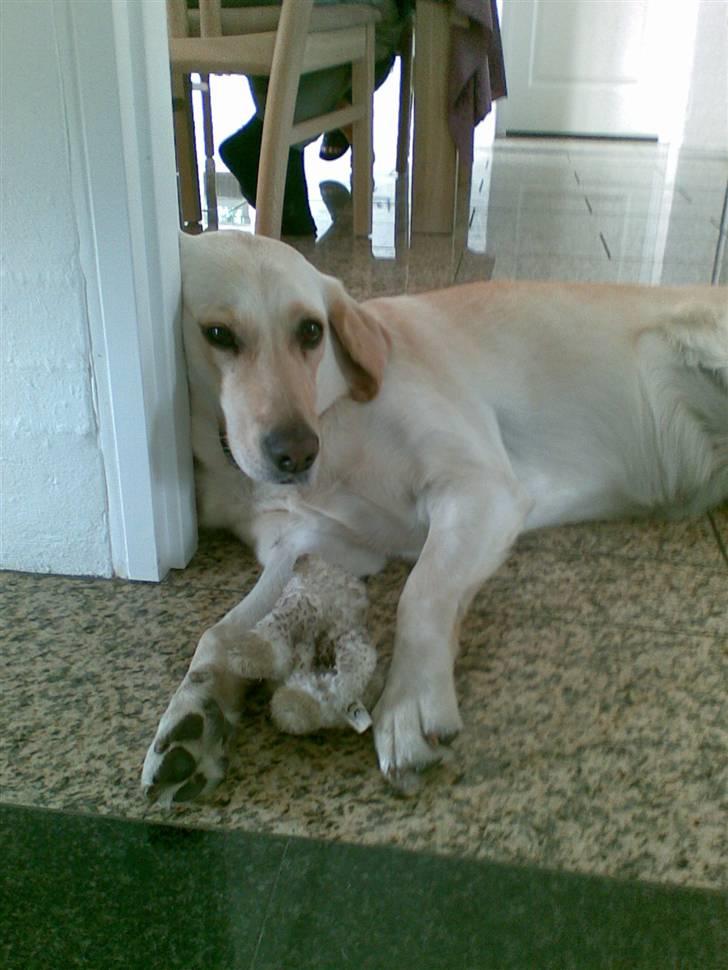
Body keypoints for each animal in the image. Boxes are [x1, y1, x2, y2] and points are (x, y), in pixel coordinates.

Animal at [141, 231, 724, 804]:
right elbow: (219, 633)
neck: (336, 420)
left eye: (310, 330)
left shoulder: (479, 487)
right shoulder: (317, 541)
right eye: (218, 334)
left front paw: (409, 704)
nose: (298, 453)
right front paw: (192, 713)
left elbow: (419, 593)